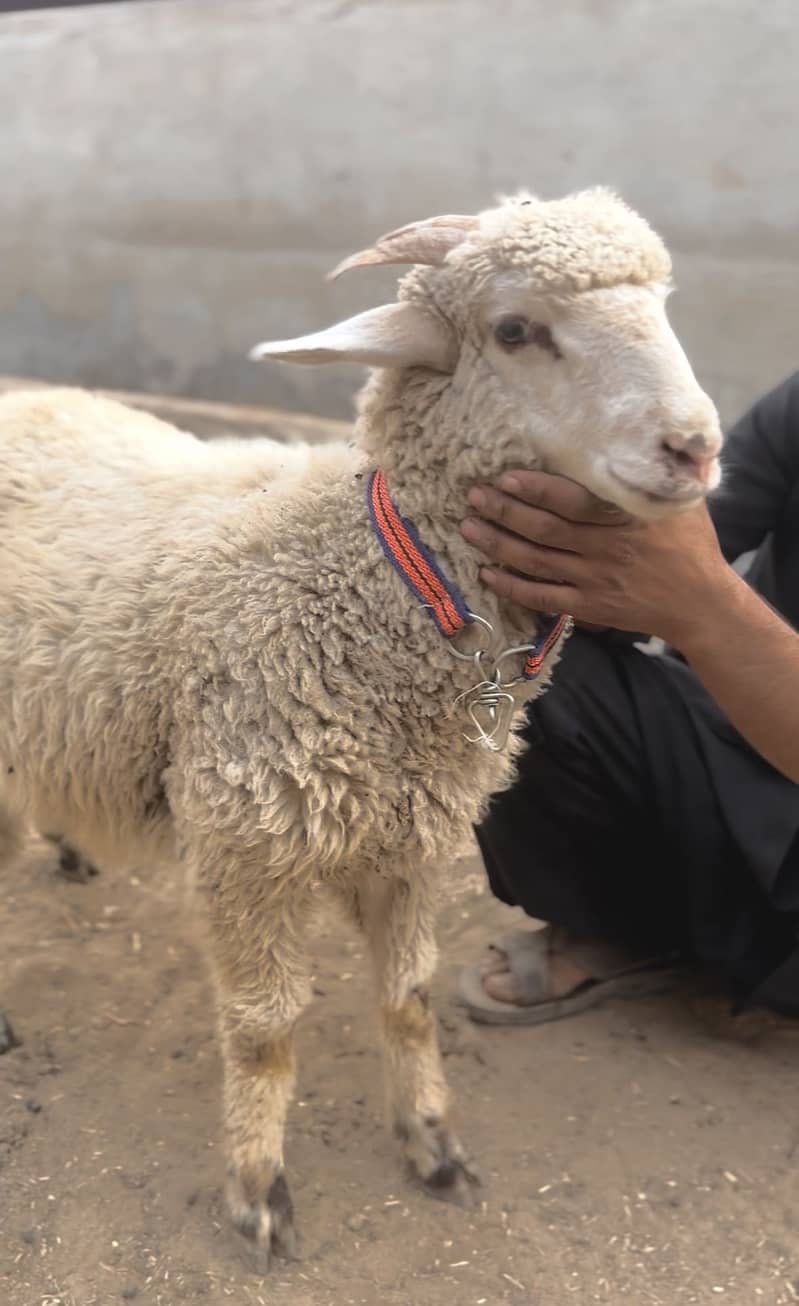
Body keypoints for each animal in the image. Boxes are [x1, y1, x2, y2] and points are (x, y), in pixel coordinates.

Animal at [0, 187, 722, 1268]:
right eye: (515, 331)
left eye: (666, 305)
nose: (694, 449)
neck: (363, 580)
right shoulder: (247, 841)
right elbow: (263, 1033)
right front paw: (259, 1192)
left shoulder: (412, 839)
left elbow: (407, 1000)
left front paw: (432, 1144)